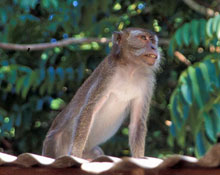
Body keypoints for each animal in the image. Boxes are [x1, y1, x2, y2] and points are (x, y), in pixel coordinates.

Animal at [42, 27, 161, 159]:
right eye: (143, 38)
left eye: (152, 40)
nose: (154, 47)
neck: (131, 69)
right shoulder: (107, 73)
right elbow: (89, 109)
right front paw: (75, 153)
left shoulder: (148, 82)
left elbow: (137, 122)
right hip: (52, 142)